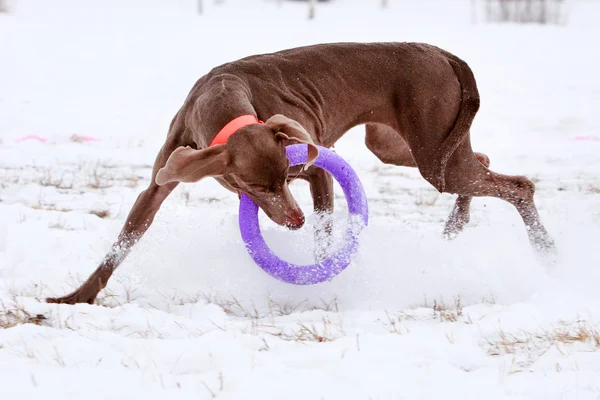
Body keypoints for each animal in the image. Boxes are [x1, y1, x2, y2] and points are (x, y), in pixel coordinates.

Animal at [48, 40, 556, 304]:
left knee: (519, 185)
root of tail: (443, 53)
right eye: (252, 186)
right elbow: (123, 243)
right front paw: (74, 298)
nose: (292, 220)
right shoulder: (159, 184)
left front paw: (320, 280)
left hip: (433, 150)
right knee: (483, 163)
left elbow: (325, 236)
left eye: (280, 181)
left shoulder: (316, 173)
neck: (222, 100)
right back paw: (458, 222)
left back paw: (544, 248)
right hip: (398, 146)